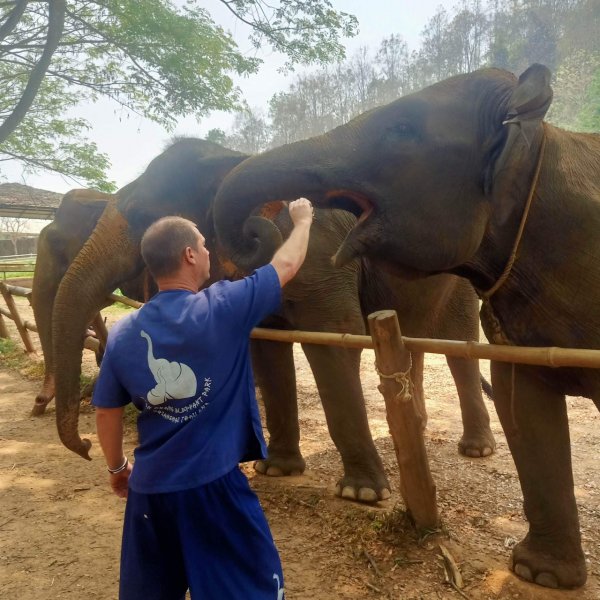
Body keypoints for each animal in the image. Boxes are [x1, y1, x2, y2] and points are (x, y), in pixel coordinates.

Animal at [50, 137, 495, 505]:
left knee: (461, 348)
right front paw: (277, 469)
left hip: (462, 283)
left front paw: (362, 494)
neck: (235, 160)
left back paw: (477, 448)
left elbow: (332, 337)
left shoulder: (323, 261)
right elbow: (267, 348)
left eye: (143, 215)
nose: (85, 445)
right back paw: (417, 426)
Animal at [210, 64, 600, 588]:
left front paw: (360, 497)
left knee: (456, 348)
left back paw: (475, 450)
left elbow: (340, 337)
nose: (259, 227)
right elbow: (521, 396)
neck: (541, 135)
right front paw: (541, 575)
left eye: (401, 130)